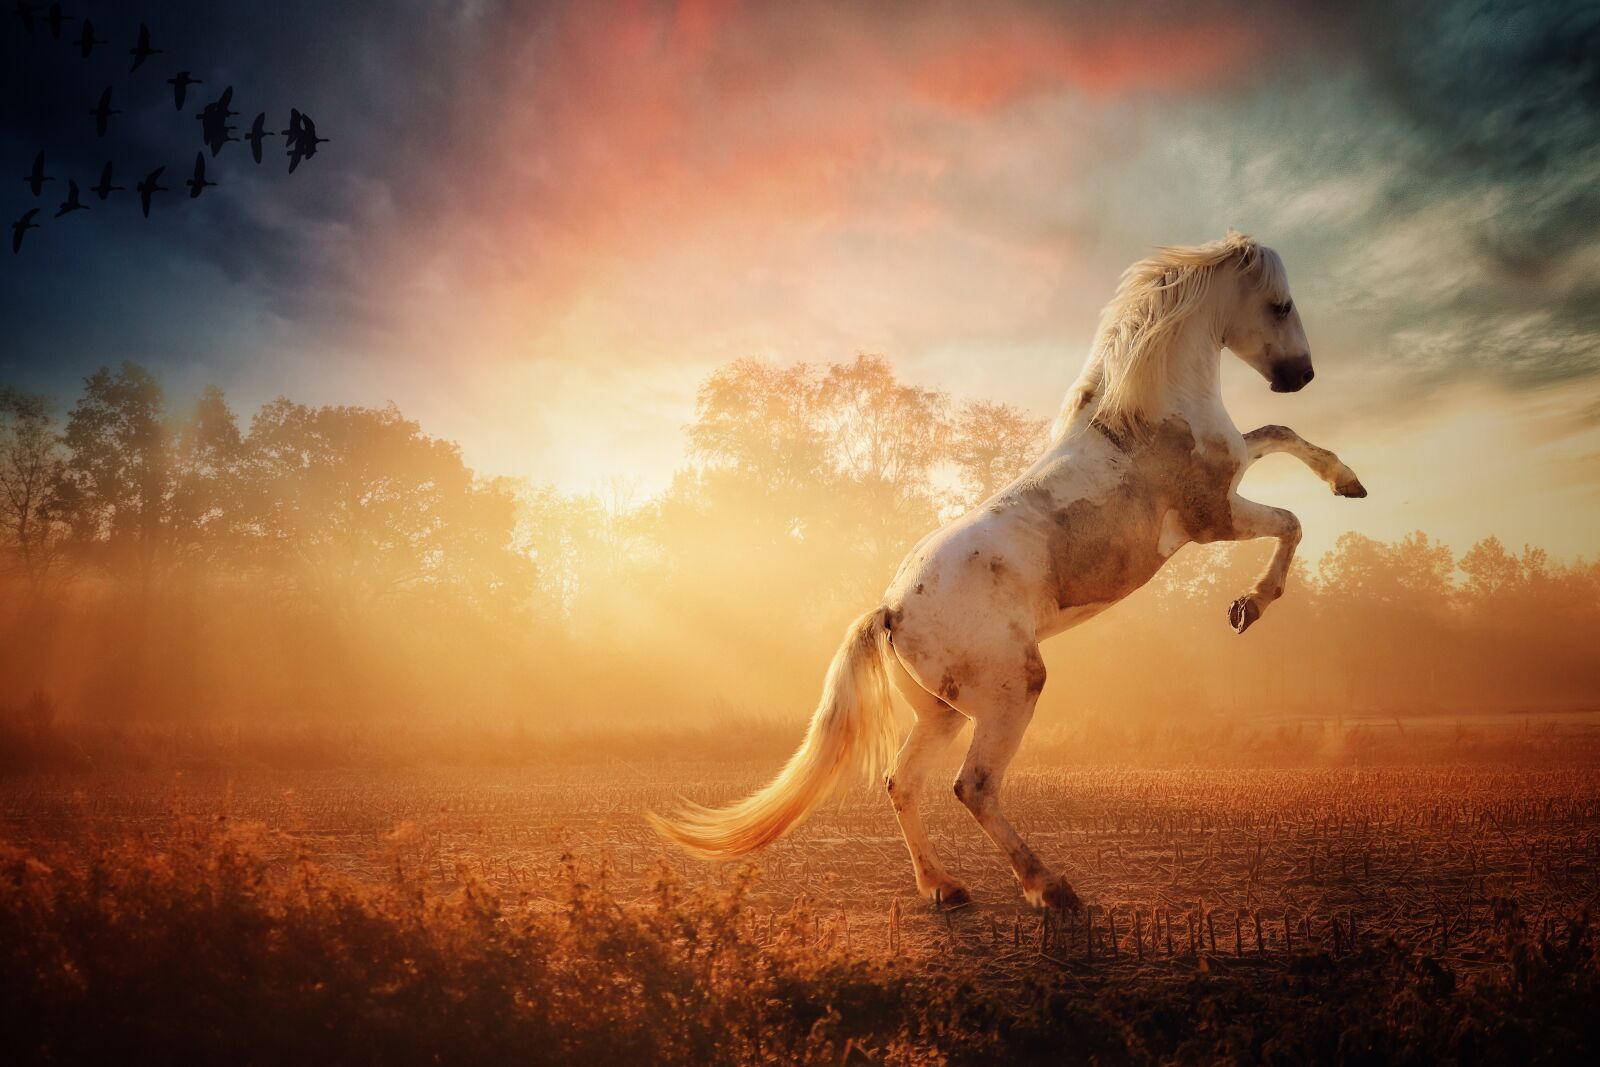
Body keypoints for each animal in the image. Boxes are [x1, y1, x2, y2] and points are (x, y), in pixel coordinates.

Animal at [649, 231, 1367, 910]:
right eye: (1281, 303)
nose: (1301, 374)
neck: (1147, 414)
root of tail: (891, 610)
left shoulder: (1233, 476)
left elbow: (1280, 434)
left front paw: (1348, 483)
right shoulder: (1213, 517)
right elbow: (1290, 520)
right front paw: (1251, 605)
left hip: (942, 713)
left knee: (902, 782)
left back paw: (945, 887)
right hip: (1013, 690)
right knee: (972, 786)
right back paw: (1049, 888)